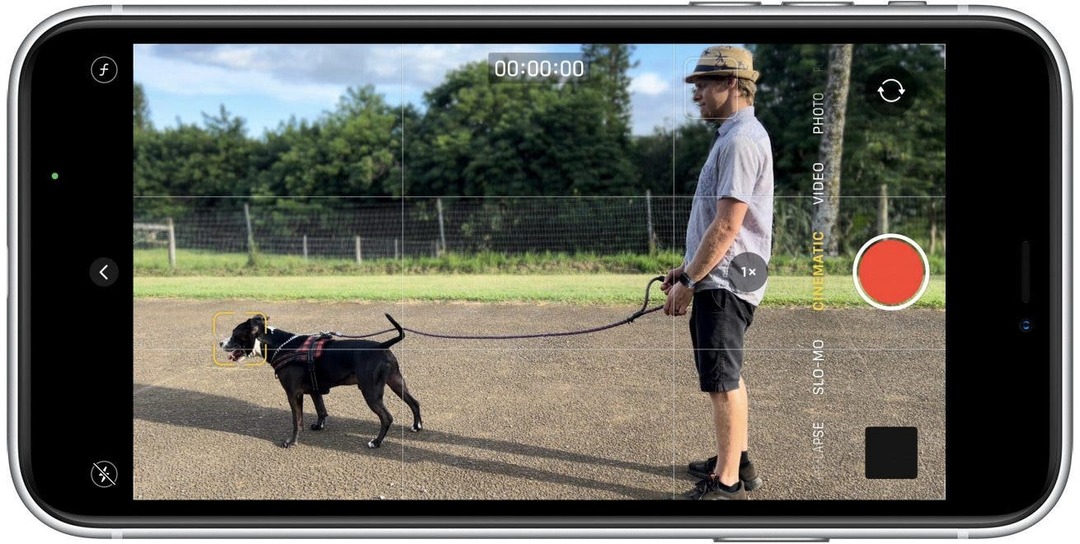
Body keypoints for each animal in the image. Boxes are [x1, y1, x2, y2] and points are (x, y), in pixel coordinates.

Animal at [219, 313, 421, 449]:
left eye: (235, 335)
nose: (220, 343)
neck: (281, 345)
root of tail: (382, 346)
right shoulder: (314, 391)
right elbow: (321, 410)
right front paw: (319, 425)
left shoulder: (293, 394)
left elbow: (297, 420)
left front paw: (291, 442)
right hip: (396, 382)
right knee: (414, 402)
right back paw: (416, 426)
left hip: (371, 392)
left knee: (387, 417)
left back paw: (376, 442)